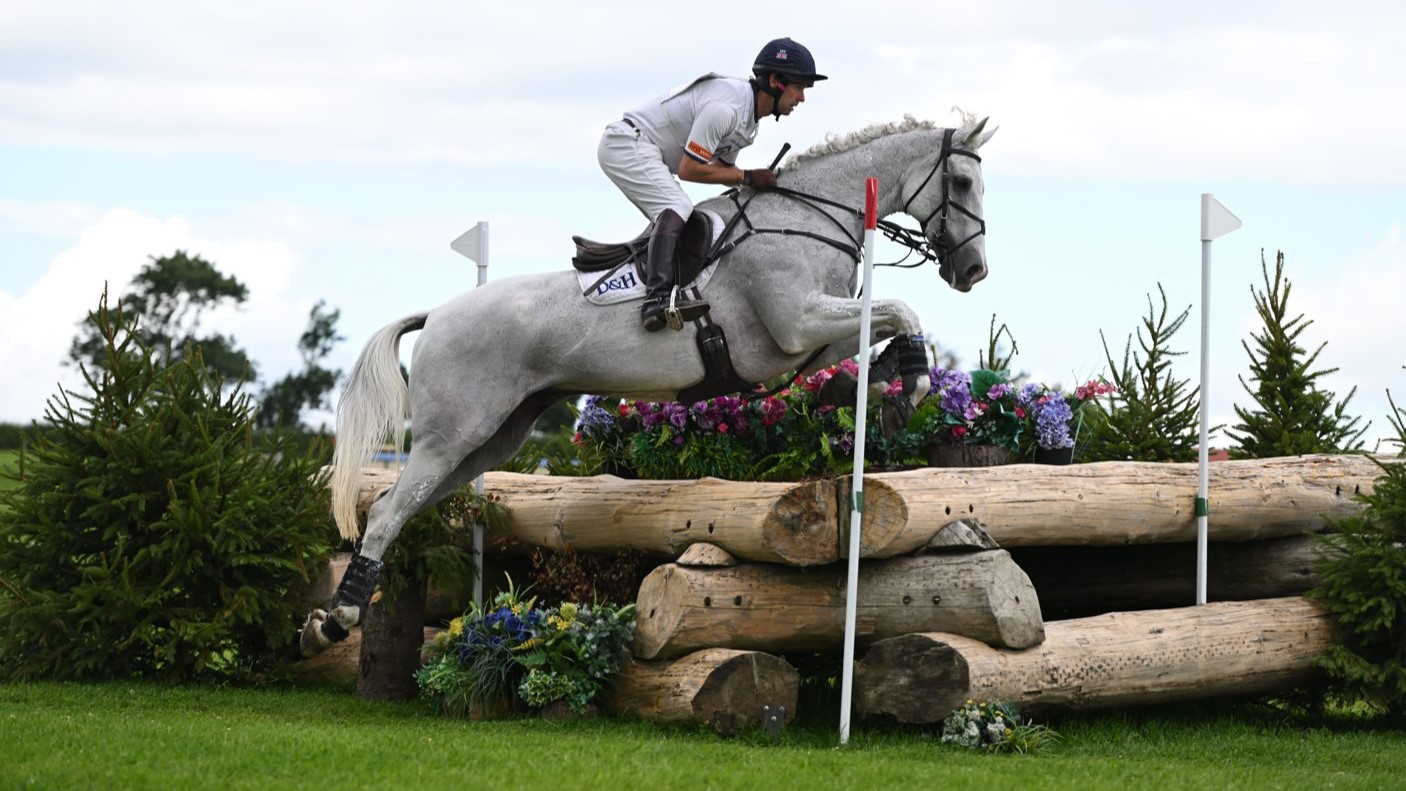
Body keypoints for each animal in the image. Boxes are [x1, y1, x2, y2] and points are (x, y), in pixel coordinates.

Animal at [299, 111, 997, 656]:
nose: (973, 272)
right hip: (454, 434)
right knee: (386, 512)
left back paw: (330, 621)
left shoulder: (806, 338)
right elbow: (901, 309)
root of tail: (437, 314)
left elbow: (878, 332)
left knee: (409, 506)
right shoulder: (796, 323)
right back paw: (335, 620)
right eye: (962, 181)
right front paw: (909, 387)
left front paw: (882, 386)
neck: (809, 216)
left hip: (492, 439)